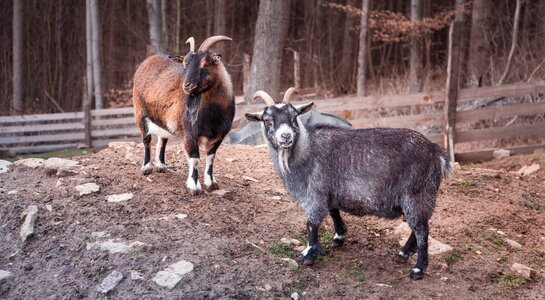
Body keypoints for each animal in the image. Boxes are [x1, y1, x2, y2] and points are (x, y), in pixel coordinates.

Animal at [133, 35, 234, 195]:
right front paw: (194, 186)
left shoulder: (218, 136)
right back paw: (147, 167)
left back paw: (161, 165)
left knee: (162, 139)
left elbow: (211, 157)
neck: (212, 113)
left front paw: (211, 183)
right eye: (185, 64)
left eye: (205, 64)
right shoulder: (190, 133)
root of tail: (148, 60)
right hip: (141, 113)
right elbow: (195, 159)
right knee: (146, 139)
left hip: (164, 120)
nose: (187, 85)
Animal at [246, 88, 450, 280]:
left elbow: (311, 223)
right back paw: (403, 253)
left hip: (417, 193)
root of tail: (435, 151)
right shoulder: (329, 191)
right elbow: (333, 211)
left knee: (422, 230)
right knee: (419, 226)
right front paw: (339, 236)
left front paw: (309, 253)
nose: (286, 137)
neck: (306, 150)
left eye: (294, 115)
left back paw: (418, 268)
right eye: (267, 119)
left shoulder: (315, 193)